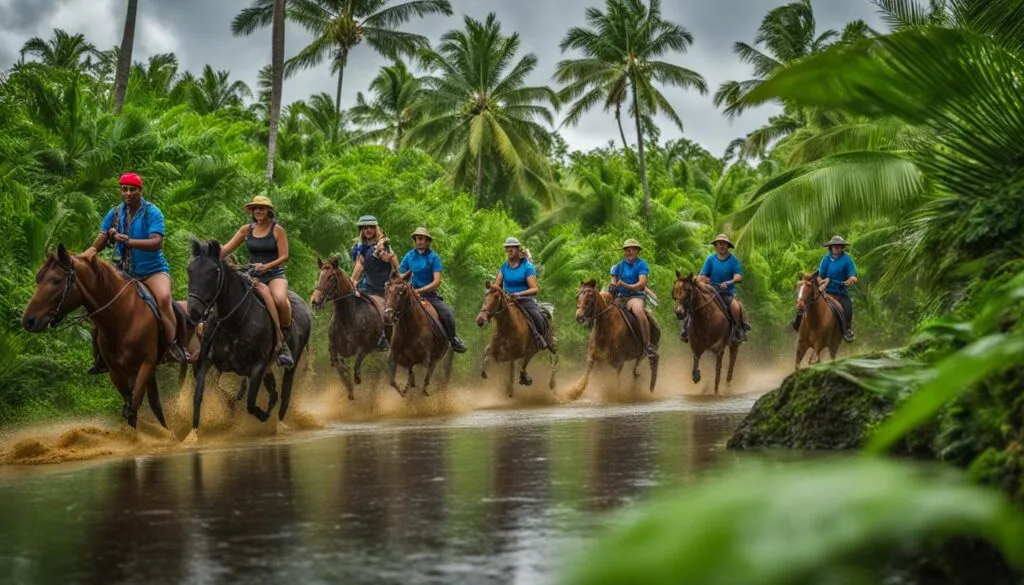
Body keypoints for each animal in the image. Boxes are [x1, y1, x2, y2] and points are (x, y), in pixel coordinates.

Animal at [21, 244, 197, 428]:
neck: (123, 315)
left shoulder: (146, 364)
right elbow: (129, 407)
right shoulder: (115, 370)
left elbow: (133, 406)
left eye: (56, 280)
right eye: (38, 278)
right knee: (156, 406)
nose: (29, 321)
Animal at [184, 238, 311, 438]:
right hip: (268, 367)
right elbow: (199, 396)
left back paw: (279, 425)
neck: (234, 322)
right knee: (274, 392)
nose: (194, 311)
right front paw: (193, 434)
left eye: (214, 272)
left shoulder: (257, 366)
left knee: (284, 394)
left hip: (292, 363)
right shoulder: (207, 361)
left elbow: (250, 402)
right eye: (190, 269)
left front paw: (261, 416)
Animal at [309, 257, 385, 401]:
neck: (347, 317)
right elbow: (340, 368)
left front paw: (356, 380)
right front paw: (348, 386)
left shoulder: (364, 348)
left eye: (331, 277)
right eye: (319, 275)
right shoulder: (334, 350)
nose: (315, 301)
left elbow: (355, 367)